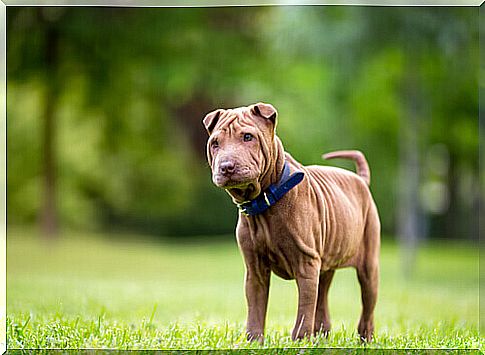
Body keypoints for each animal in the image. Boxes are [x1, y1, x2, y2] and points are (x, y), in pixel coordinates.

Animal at [202, 102, 380, 342]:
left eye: (248, 137)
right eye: (215, 143)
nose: (227, 167)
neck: (264, 201)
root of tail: (360, 180)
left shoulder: (306, 264)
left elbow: (304, 309)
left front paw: (300, 341)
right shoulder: (255, 270)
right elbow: (255, 308)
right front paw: (254, 341)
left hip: (368, 264)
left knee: (366, 306)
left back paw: (364, 339)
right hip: (325, 263)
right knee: (322, 299)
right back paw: (321, 337)